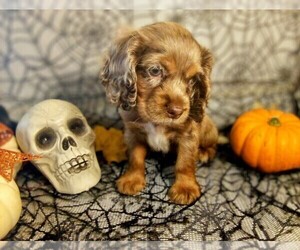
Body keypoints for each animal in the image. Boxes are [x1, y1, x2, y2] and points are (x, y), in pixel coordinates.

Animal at [101, 22, 218, 205]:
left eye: (192, 80)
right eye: (155, 71)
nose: (177, 111)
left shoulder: (188, 135)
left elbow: (184, 162)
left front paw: (185, 188)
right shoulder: (132, 132)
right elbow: (135, 157)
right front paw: (132, 179)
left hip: (208, 130)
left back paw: (205, 152)